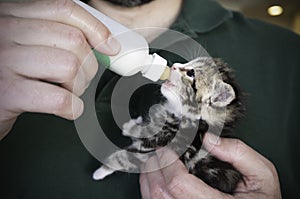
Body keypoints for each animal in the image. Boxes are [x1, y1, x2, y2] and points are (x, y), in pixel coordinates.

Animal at [93, 56, 244, 194]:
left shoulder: (155, 146)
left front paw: (101, 171)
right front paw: (136, 124)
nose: (174, 65)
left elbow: (123, 157)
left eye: (191, 73)